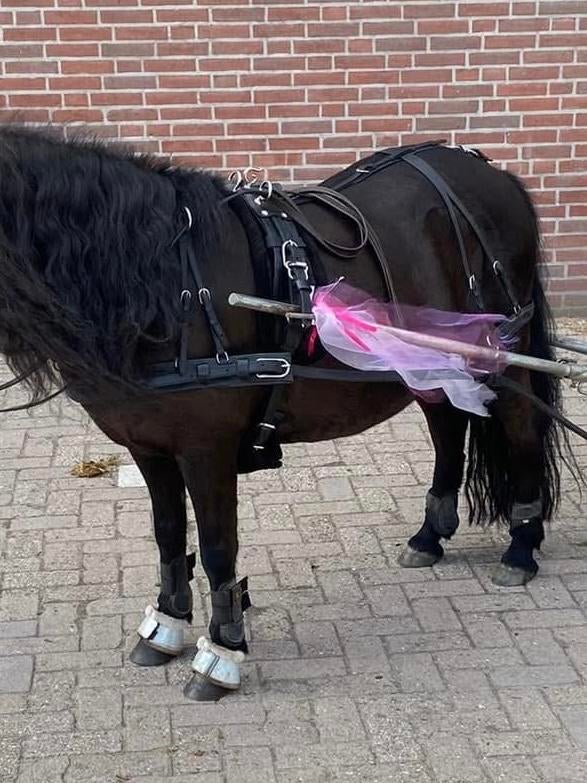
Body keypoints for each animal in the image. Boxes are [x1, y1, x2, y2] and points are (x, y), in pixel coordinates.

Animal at [0, 124, 571, 700]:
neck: (165, 283)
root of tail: (491, 172)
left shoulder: (206, 449)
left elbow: (217, 548)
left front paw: (221, 654)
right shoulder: (149, 447)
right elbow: (167, 536)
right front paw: (165, 625)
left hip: (501, 347)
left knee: (521, 428)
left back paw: (521, 547)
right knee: (448, 425)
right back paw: (429, 536)